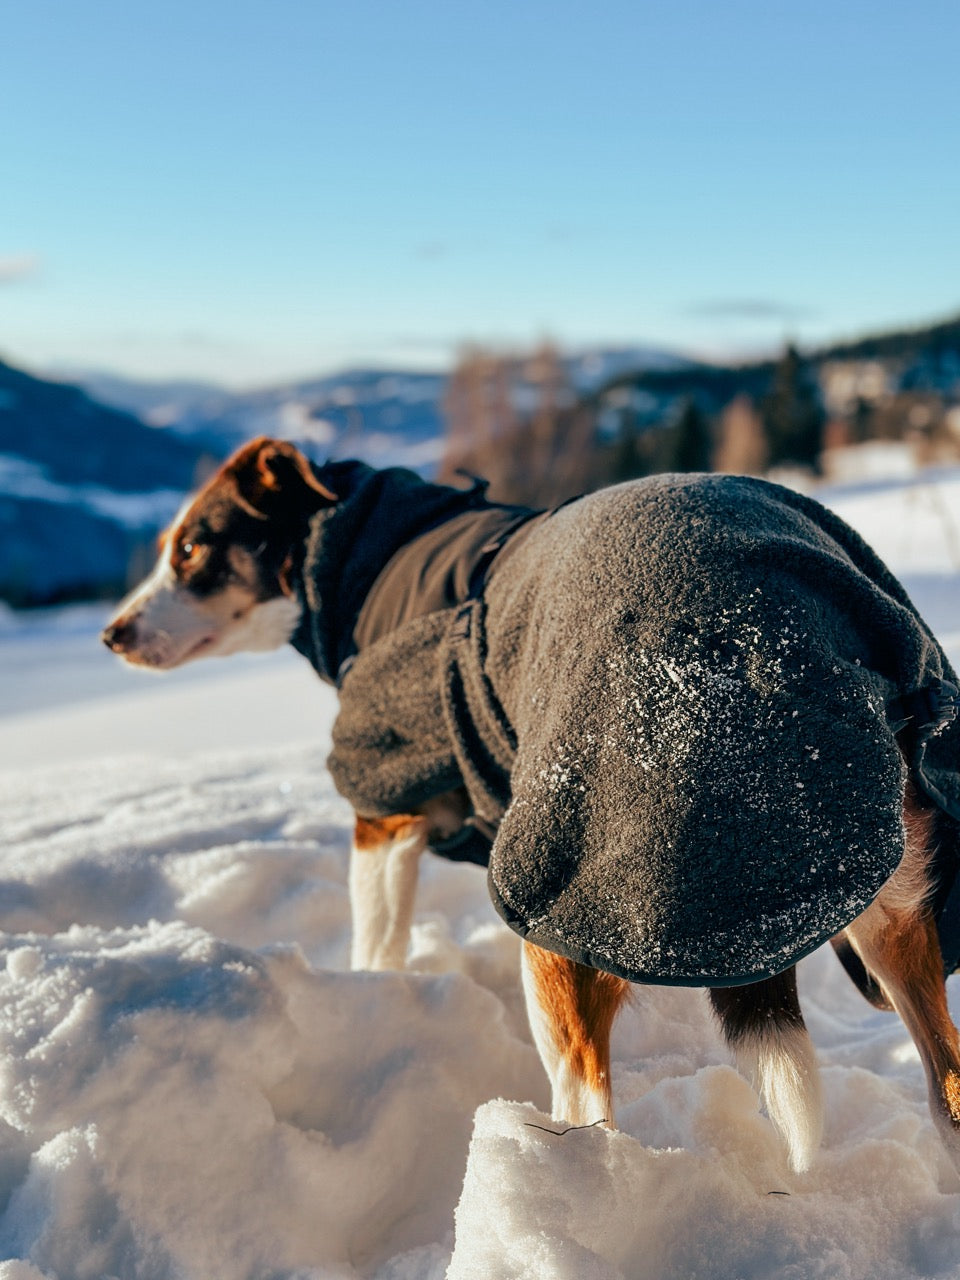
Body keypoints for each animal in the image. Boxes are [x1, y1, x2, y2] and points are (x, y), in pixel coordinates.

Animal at [103, 435, 960, 1172]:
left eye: (191, 550)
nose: (111, 634)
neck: (364, 547)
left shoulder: (383, 807)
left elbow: (376, 940)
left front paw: (369, 992)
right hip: (894, 918)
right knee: (947, 1091)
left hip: (558, 924)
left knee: (588, 1114)